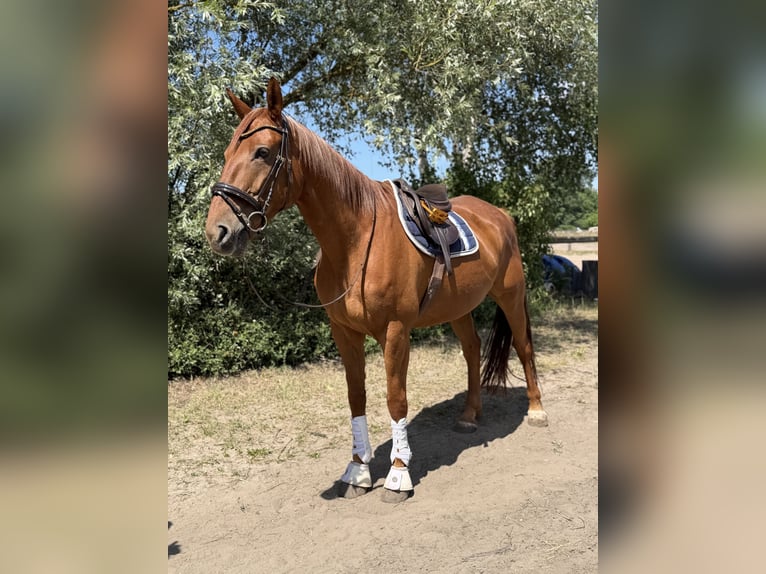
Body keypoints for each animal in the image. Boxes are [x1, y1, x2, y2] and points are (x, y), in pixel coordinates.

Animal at [204, 78, 547, 503]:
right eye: (226, 153)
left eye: (262, 152)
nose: (218, 232)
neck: (355, 241)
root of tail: (500, 215)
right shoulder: (344, 333)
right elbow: (357, 398)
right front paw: (357, 471)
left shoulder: (396, 331)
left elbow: (395, 398)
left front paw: (399, 475)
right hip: (459, 308)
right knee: (472, 350)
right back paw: (469, 415)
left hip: (511, 295)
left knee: (524, 346)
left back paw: (536, 411)